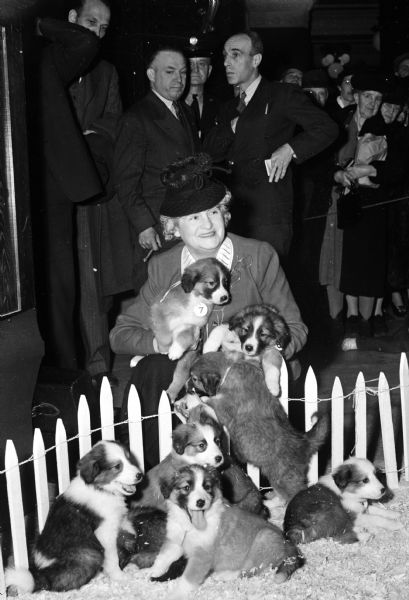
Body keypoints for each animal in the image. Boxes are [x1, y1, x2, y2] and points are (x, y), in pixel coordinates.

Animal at [5, 438, 143, 592]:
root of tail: (42, 573)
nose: (140, 475)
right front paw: (120, 576)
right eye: (117, 466)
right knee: (59, 583)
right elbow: (113, 558)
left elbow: (127, 524)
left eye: (129, 459)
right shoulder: (105, 532)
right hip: (90, 554)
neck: (101, 489)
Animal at [150, 464, 302, 600]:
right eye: (186, 488)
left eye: (207, 487)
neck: (189, 526)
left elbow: (187, 579)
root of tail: (290, 545)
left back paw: (225, 575)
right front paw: (152, 571)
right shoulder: (174, 541)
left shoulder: (201, 557)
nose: (201, 502)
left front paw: (173, 595)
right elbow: (163, 557)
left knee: (250, 570)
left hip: (263, 539)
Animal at [189, 352, 328, 502]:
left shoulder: (224, 406)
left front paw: (198, 399)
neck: (229, 366)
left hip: (283, 478)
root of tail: (304, 443)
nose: (187, 388)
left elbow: (210, 402)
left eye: (194, 379)